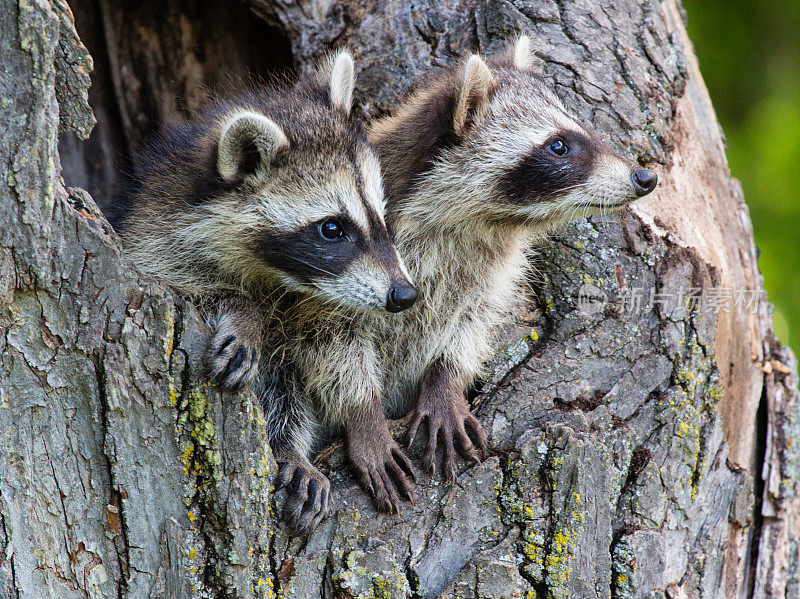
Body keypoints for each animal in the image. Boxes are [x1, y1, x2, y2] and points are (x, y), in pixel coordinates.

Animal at [111, 52, 418, 536]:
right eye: (332, 228)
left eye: (381, 215)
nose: (404, 295)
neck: (278, 278)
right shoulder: (153, 243)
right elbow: (188, 287)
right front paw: (244, 314)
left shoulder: (326, 297)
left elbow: (330, 349)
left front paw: (358, 415)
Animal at [362, 35, 656, 480]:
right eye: (558, 145)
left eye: (585, 128)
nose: (645, 177)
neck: (477, 225)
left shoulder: (487, 271)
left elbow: (470, 324)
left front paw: (445, 381)